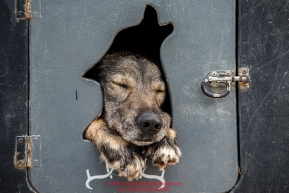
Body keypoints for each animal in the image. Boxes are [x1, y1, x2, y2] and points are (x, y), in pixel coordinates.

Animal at [84, 51, 181, 181]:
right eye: (121, 84)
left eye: (160, 91)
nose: (151, 123)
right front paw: (122, 146)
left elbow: (166, 119)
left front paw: (166, 140)